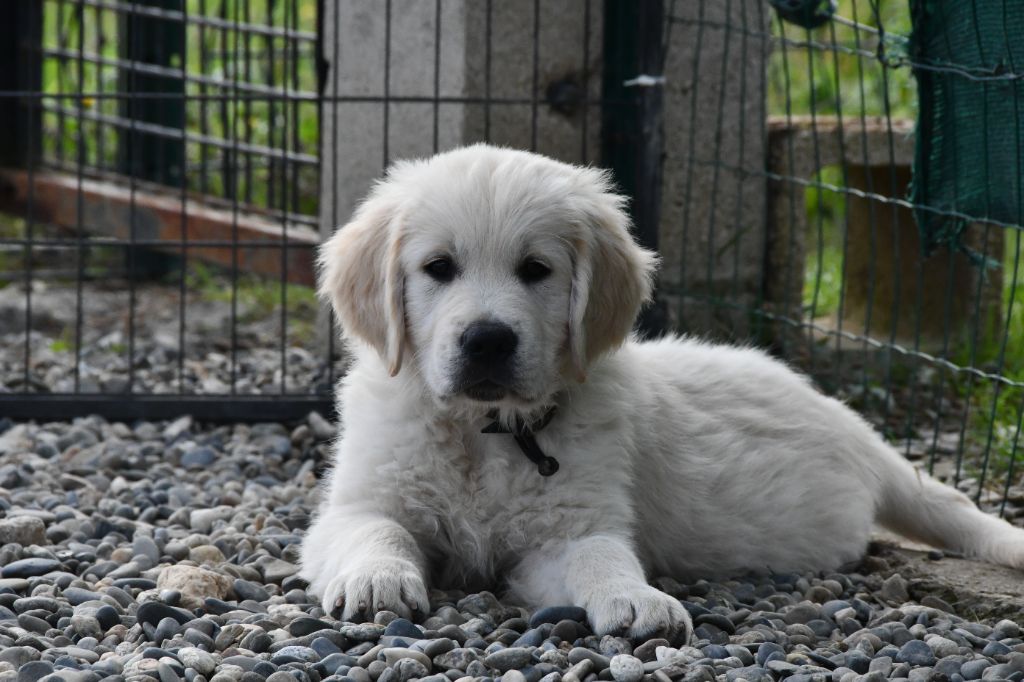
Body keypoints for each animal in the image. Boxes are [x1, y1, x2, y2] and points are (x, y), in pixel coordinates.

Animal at [301, 143, 1024, 638]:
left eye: (536, 270)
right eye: (438, 268)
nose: (487, 340)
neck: (488, 430)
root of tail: (853, 427)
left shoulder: (573, 525)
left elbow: (601, 555)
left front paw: (635, 598)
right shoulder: (358, 502)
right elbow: (377, 531)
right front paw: (376, 580)